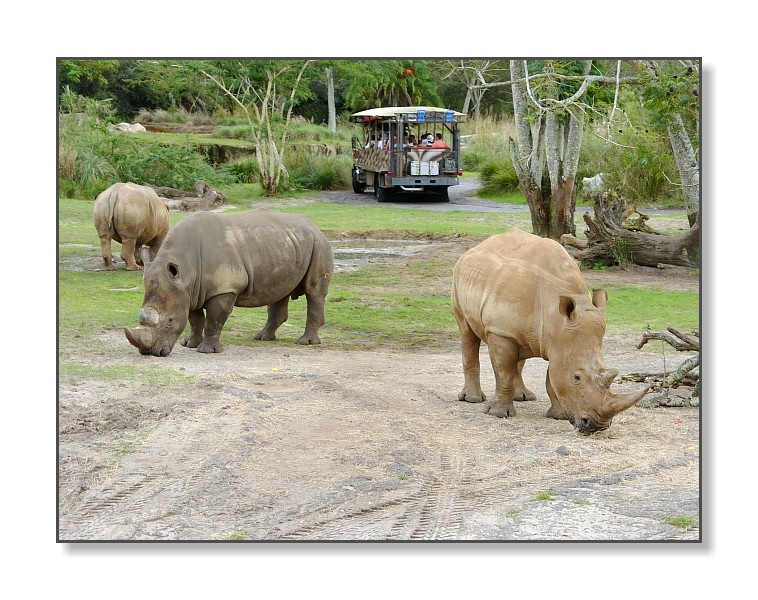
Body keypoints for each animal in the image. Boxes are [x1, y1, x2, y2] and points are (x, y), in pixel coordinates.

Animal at [126, 207, 334, 356]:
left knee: (313, 292)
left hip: (319, 244)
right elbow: (194, 318)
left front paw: (207, 351)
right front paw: (189, 344)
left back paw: (305, 342)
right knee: (279, 291)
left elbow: (215, 318)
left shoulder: (224, 288)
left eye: (169, 321)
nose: (149, 352)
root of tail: (313, 225)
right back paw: (262, 337)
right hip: (285, 245)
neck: (186, 268)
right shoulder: (189, 290)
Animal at [454, 226, 652, 432]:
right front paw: (498, 414)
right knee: (467, 333)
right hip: (459, 275)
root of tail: (475, 248)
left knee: (519, 352)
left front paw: (560, 416)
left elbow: (552, 377)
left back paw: (524, 397)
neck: (555, 317)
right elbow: (504, 373)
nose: (598, 426)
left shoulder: (560, 340)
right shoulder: (500, 331)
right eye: (577, 377)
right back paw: (472, 399)